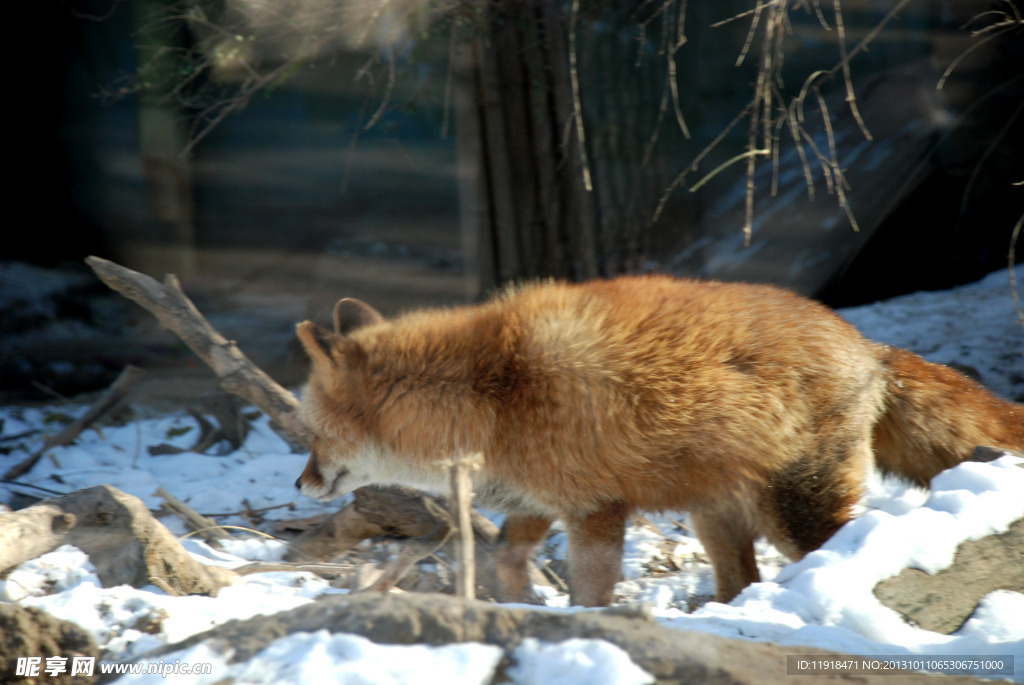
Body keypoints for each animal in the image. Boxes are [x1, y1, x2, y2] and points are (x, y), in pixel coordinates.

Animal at [292, 274, 1019, 606]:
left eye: (311, 435)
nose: (299, 482)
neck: (491, 395)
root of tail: (868, 344)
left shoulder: (596, 509)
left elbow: (590, 589)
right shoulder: (538, 501)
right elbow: (504, 561)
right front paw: (525, 606)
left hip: (797, 513)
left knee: (835, 552)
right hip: (716, 516)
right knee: (741, 581)